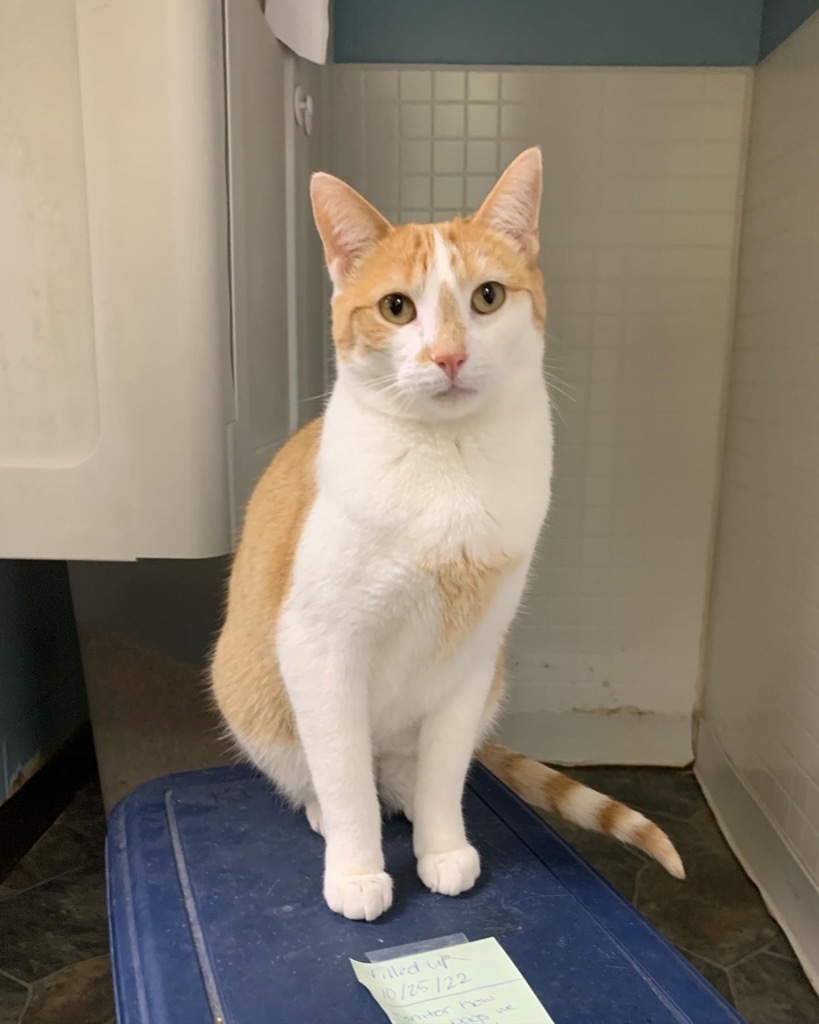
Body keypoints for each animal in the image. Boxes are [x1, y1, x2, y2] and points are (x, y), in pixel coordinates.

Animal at [207, 148, 679, 925]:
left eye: (487, 297)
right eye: (397, 307)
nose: (449, 356)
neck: (446, 468)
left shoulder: (473, 657)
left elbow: (445, 774)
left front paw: (442, 848)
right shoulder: (321, 647)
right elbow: (343, 774)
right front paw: (357, 869)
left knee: (402, 769)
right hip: (252, 689)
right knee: (322, 774)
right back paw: (329, 811)